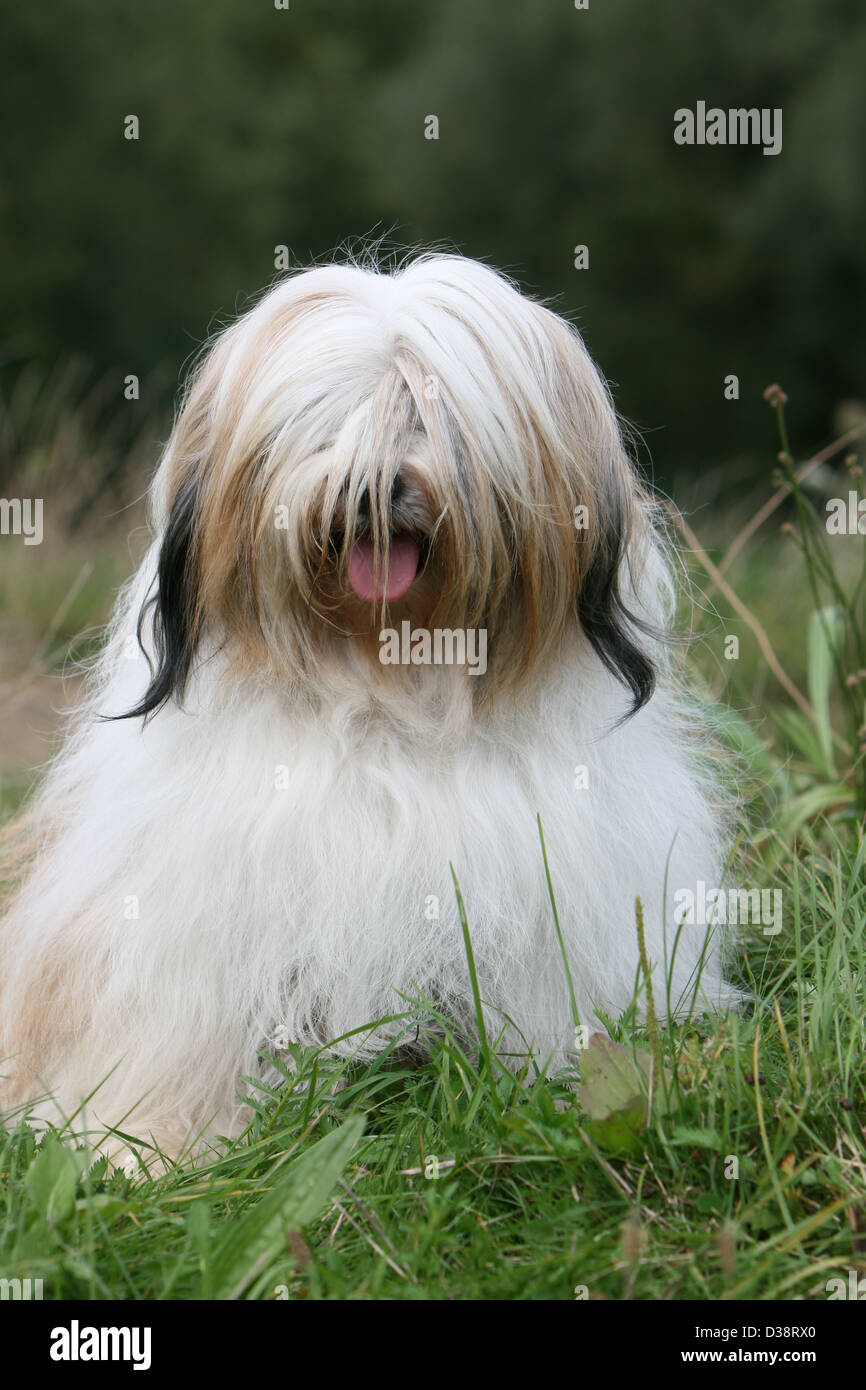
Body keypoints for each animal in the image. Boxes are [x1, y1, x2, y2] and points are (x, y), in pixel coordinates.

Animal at [0, 252, 739, 1162]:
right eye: (324, 418)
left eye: (430, 414)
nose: (371, 489)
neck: (391, 698)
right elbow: (180, 1036)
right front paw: (142, 1145)